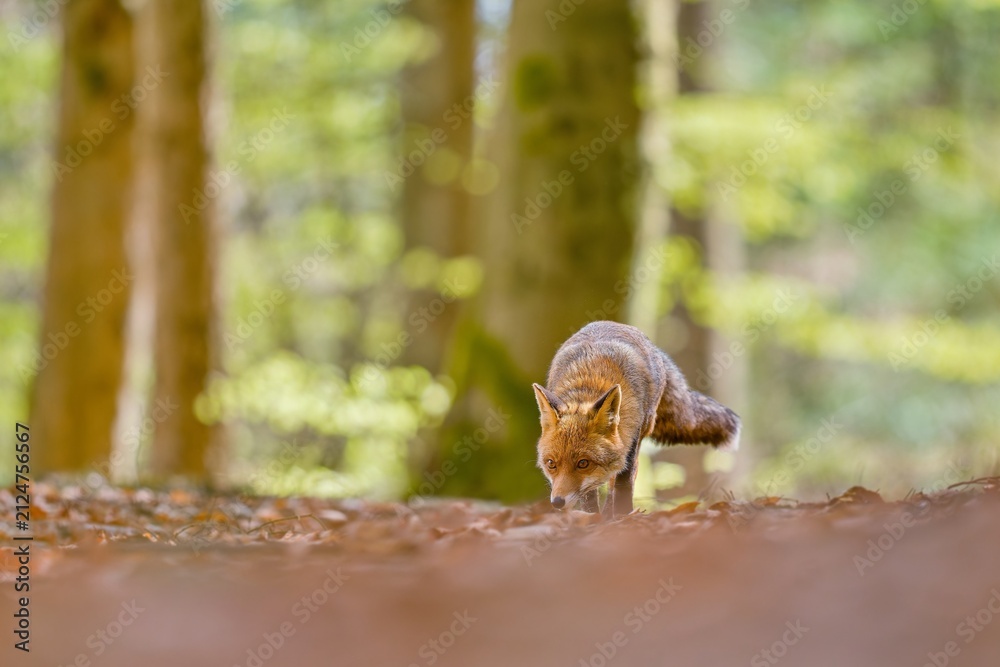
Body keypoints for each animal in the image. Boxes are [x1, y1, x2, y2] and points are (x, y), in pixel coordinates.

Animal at [533, 321, 740, 518]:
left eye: (583, 463)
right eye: (551, 464)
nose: (557, 502)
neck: (590, 378)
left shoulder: (631, 442)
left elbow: (623, 485)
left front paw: (623, 516)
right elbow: (589, 497)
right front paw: (593, 517)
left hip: (640, 435)